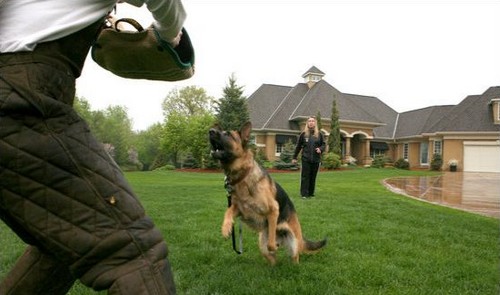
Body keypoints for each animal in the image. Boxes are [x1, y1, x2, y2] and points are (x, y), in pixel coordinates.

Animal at [209, 122, 326, 266]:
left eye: (228, 134)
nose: (210, 131)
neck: (243, 176)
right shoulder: (239, 208)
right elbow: (228, 211)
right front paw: (226, 228)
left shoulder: (273, 210)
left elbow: (271, 243)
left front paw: (274, 245)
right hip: (261, 243)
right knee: (271, 257)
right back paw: (273, 265)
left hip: (293, 244)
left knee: (294, 256)